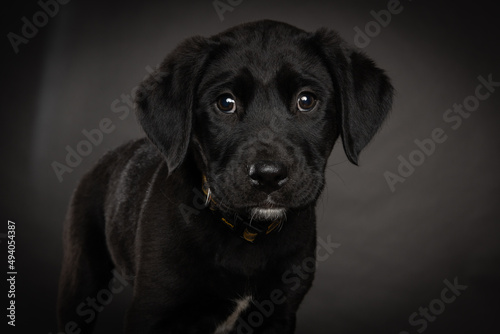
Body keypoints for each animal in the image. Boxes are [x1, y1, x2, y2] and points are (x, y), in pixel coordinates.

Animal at [57, 19, 394, 332]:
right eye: (226, 103)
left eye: (306, 100)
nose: (268, 175)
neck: (248, 234)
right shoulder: (150, 312)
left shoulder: (279, 314)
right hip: (81, 276)